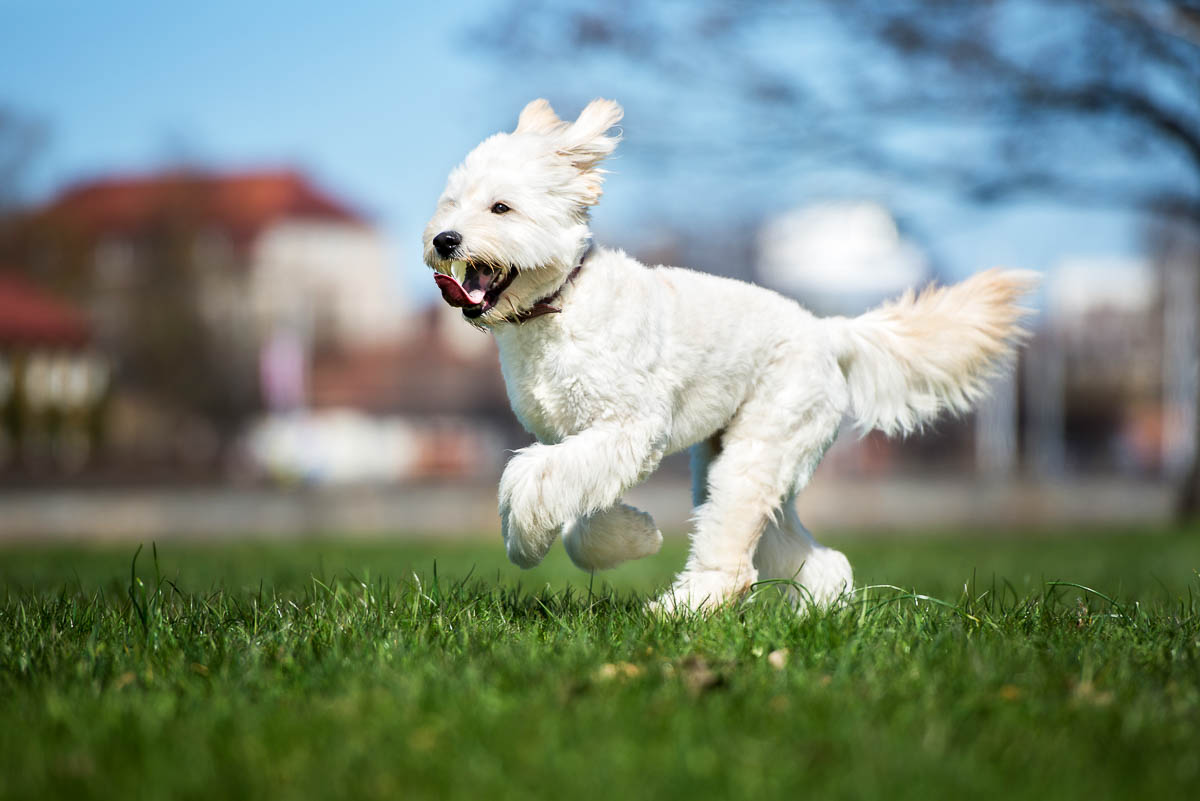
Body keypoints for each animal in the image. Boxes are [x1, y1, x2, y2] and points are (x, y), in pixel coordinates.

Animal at [420, 100, 1032, 613]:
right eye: (451, 203)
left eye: (501, 207)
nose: (444, 239)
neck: (562, 304)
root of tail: (827, 332)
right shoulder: (579, 440)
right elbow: (579, 514)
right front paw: (635, 535)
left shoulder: (627, 429)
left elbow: (530, 477)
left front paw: (525, 539)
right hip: (738, 462)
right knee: (811, 556)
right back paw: (818, 613)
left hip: (759, 447)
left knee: (736, 560)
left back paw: (677, 612)